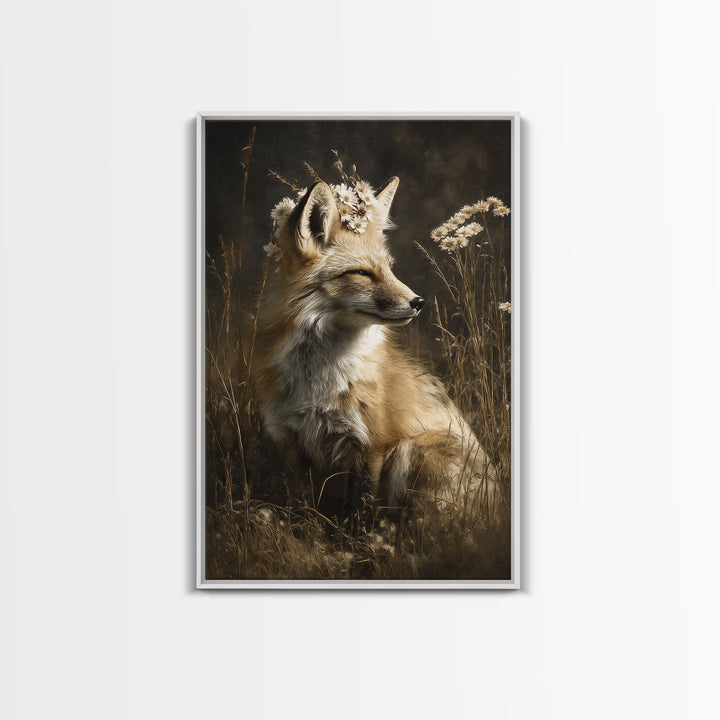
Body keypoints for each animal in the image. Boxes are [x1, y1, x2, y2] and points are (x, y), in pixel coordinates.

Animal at [252, 176, 497, 519]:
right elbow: (301, 504)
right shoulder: (292, 443)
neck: (316, 379)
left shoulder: (371, 444)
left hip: (413, 448)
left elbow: (360, 510)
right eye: (362, 273)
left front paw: (361, 534)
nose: (419, 302)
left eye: (390, 269)